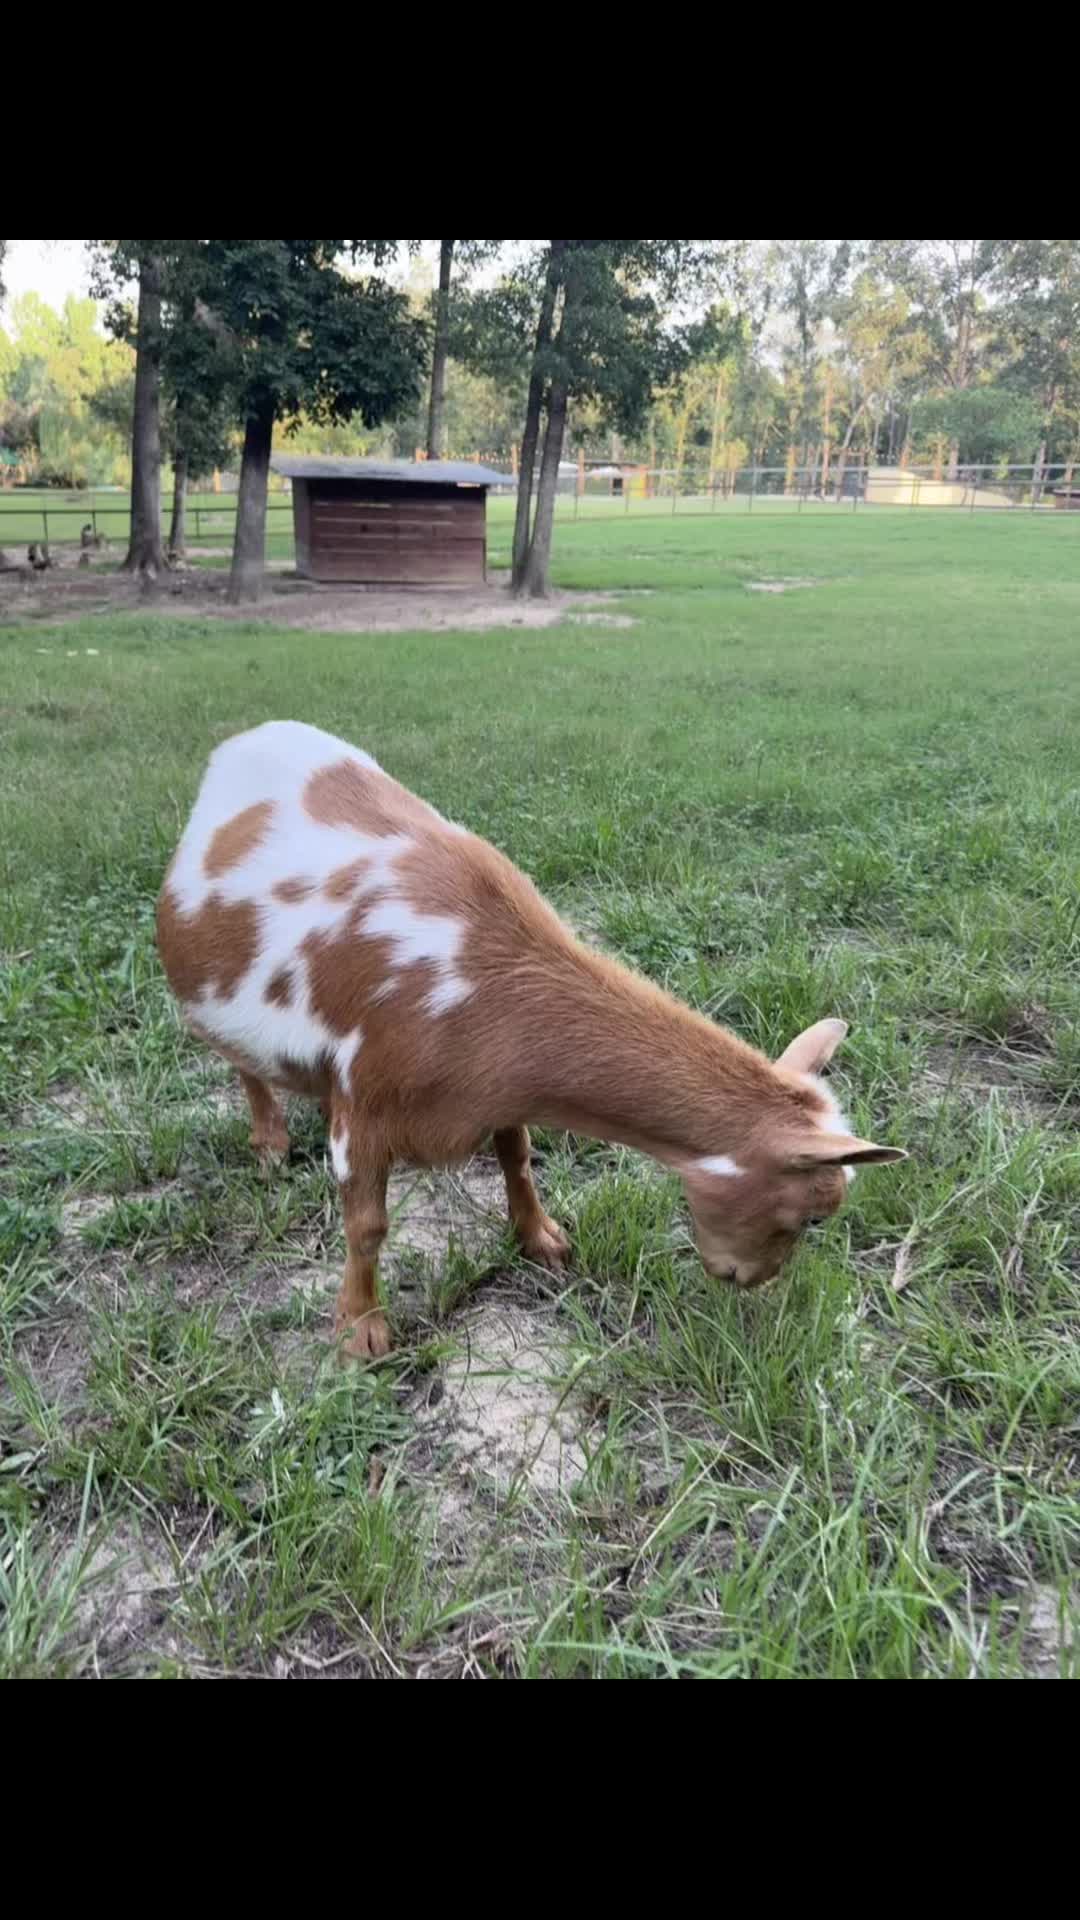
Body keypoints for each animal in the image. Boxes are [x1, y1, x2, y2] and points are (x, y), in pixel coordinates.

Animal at [157, 721, 906, 1357]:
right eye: (816, 1216)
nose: (750, 1281)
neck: (483, 981)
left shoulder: (498, 1092)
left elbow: (517, 1157)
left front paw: (541, 1239)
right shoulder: (363, 1104)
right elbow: (366, 1225)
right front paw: (360, 1332)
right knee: (241, 1062)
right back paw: (268, 1142)